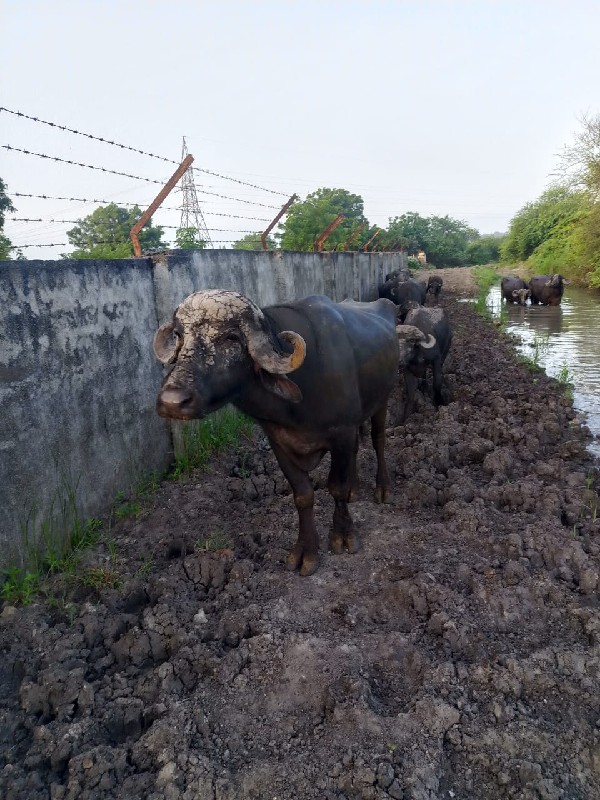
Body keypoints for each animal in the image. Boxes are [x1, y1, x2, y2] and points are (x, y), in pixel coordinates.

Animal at [154, 290, 404, 580]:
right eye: (179, 336)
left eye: (231, 338)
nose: (173, 401)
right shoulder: (279, 442)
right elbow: (303, 495)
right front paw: (306, 551)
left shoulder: (341, 432)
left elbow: (336, 488)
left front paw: (343, 535)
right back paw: (355, 487)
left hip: (383, 398)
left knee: (378, 439)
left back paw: (383, 488)